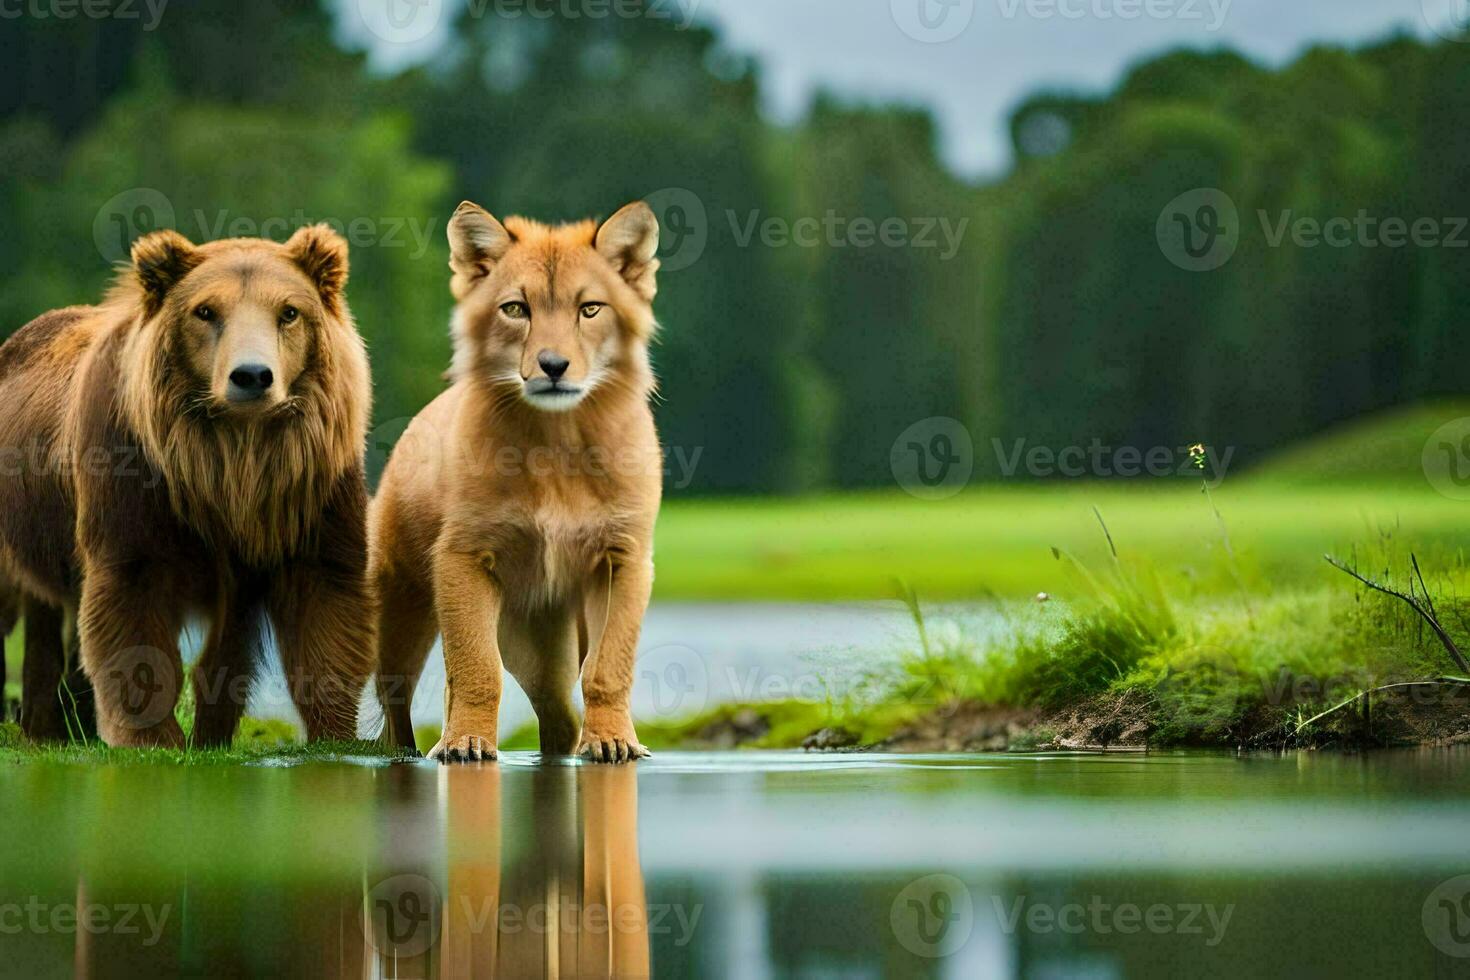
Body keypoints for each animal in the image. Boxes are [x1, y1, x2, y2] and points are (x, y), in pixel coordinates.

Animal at [0, 226, 373, 746]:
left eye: (289, 312)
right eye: (206, 310)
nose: (252, 376)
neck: (232, 461)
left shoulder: (310, 494)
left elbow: (323, 609)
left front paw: (335, 734)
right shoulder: (133, 484)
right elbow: (133, 612)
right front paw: (154, 738)